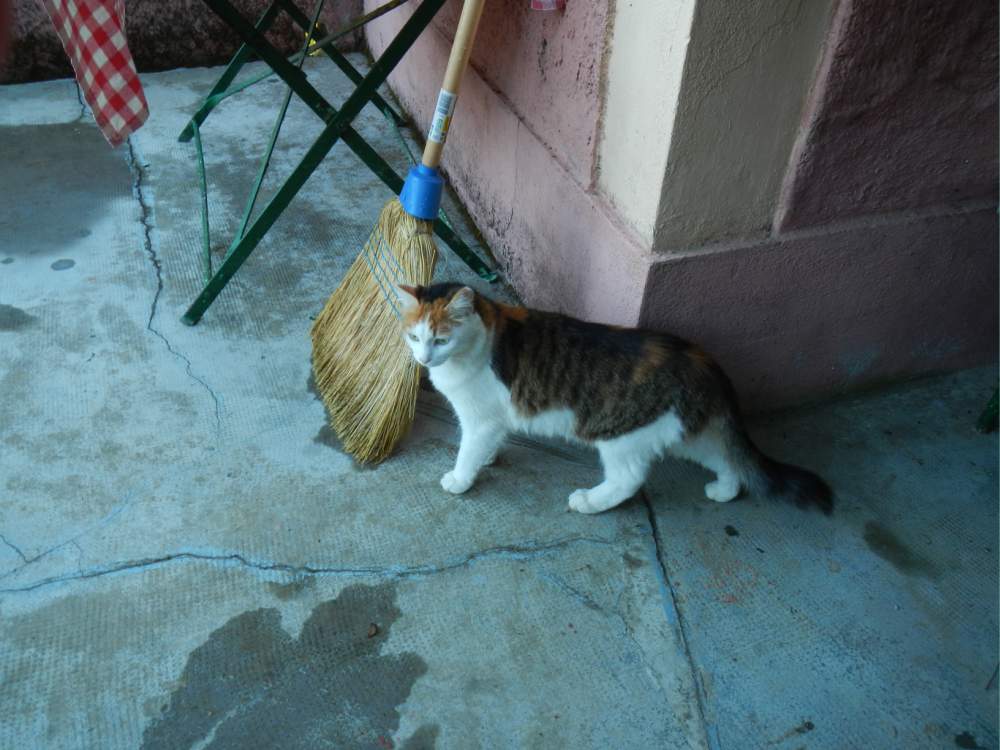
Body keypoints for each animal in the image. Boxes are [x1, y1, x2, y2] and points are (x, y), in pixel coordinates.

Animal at [395, 282, 832, 516]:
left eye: (441, 340)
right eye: (414, 336)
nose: (423, 358)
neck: (482, 338)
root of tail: (701, 360)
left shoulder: (480, 418)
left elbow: (468, 449)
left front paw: (461, 478)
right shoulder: (494, 419)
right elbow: (487, 444)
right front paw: (486, 459)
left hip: (622, 436)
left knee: (628, 480)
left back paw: (589, 501)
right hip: (683, 432)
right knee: (727, 459)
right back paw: (724, 491)